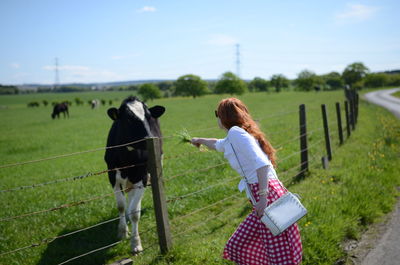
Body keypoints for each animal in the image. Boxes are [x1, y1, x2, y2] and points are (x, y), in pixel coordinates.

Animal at [104, 96, 166, 253]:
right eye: (128, 119)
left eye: (149, 116)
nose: (149, 137)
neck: (127, 158)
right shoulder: (112, 177)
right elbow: (121, 205)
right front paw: (122, 232)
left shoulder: (142, 177)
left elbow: (135, 212)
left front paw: (136, 243)